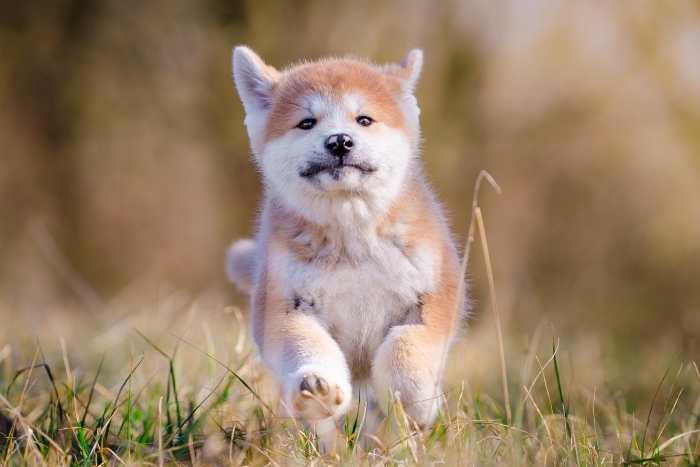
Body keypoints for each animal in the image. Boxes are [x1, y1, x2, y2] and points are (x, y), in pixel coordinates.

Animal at [227, 47, 464, 432]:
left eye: (364, 119)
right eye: (307, 122)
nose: (339, 140)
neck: (351, 240)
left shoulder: (432, 300)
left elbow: (406, 346)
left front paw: (415, 396)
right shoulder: (284, 306)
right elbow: (309, 346)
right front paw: (316, 386)